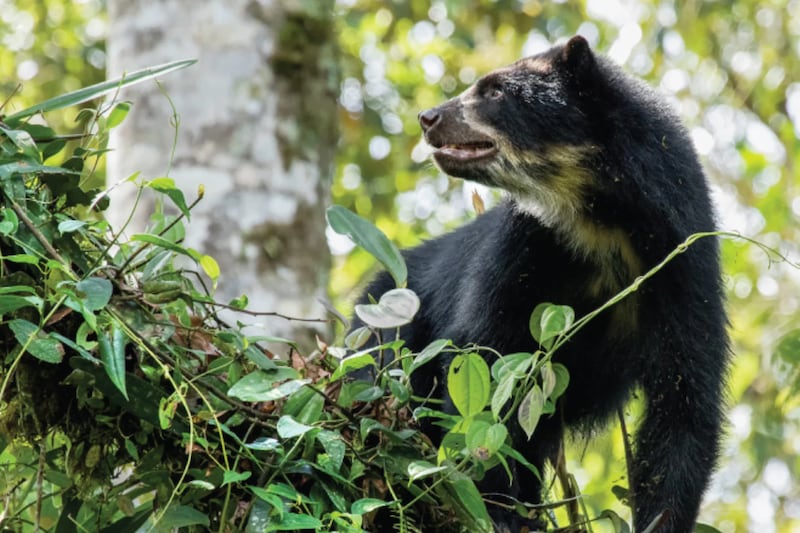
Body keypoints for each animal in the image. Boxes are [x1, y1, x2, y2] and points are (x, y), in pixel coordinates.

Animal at [353, 35, 729, 532]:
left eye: (494, 91)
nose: (428, 117)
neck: (601, 222)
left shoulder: (682, 264)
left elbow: (685, 402)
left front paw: (656, 520)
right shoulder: (522, 247)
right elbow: (485, 361)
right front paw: (497, 510)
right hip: (386, 327)